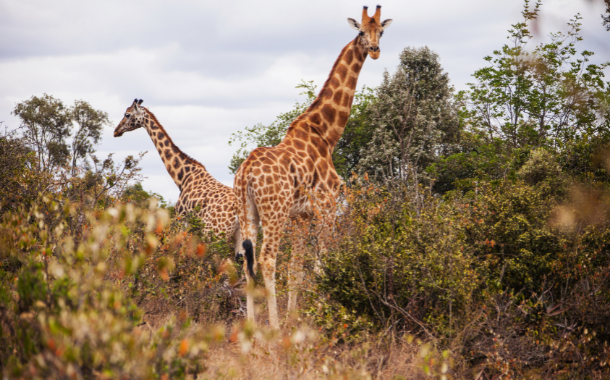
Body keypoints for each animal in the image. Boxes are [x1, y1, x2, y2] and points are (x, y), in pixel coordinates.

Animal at [233, 5, 390, 328]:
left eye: (381, 31)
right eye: (360, 31)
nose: (375, 50)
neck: (326, 133)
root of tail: (246, 174)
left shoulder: (301, 216)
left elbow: (297, 268)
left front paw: (296, 319)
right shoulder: (327, 206)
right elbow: (322, 265)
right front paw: (317, 317)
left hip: (248, 212)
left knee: (247, 264)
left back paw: (252, 329)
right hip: (274, 212)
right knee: (267, 259)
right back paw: (273, 328)